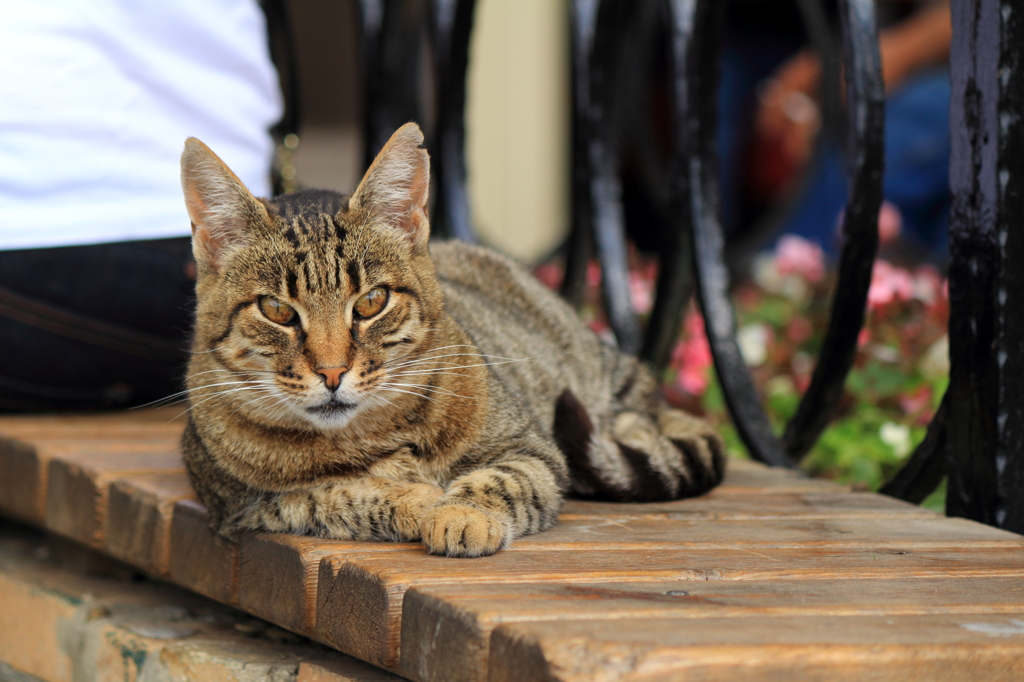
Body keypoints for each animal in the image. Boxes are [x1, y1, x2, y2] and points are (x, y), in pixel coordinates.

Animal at [180, 124, 724, 557]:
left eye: (371, 301)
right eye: (276, 310)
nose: (332, 373)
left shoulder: (532, 448)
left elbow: (499, 481)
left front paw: (463, 514)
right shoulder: (240, 504)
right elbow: (332, 494)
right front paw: (417, 500)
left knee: (638, 424)